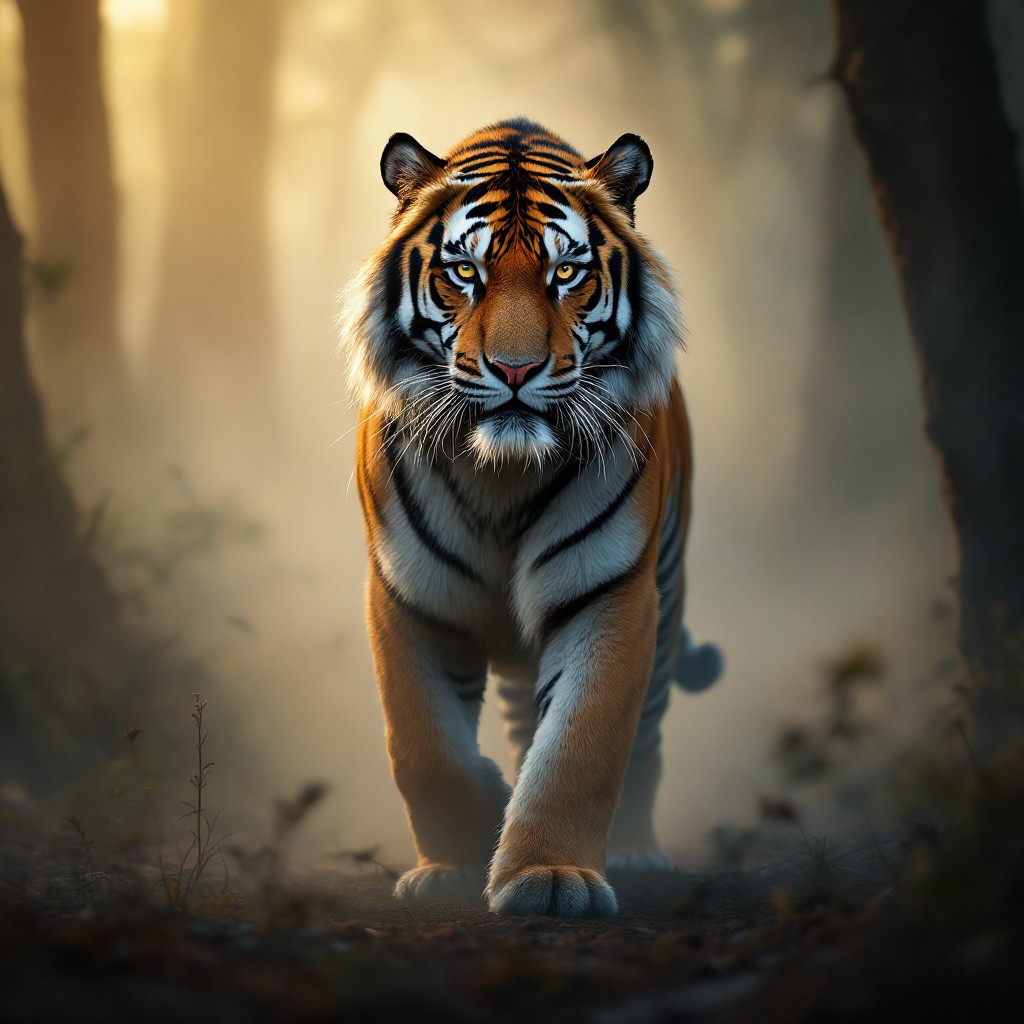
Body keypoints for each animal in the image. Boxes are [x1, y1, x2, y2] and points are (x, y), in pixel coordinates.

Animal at [337, 118, 721, 918]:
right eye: (464, 272)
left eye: (566, 273)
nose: (514, 370)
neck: (502, 479)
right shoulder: (407, 595)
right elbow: (425, 746)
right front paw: (455, 858)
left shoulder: (609, 594)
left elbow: (581, 745)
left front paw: (548, 877)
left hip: (668, 590)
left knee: (647, 740)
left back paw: (636, 850)